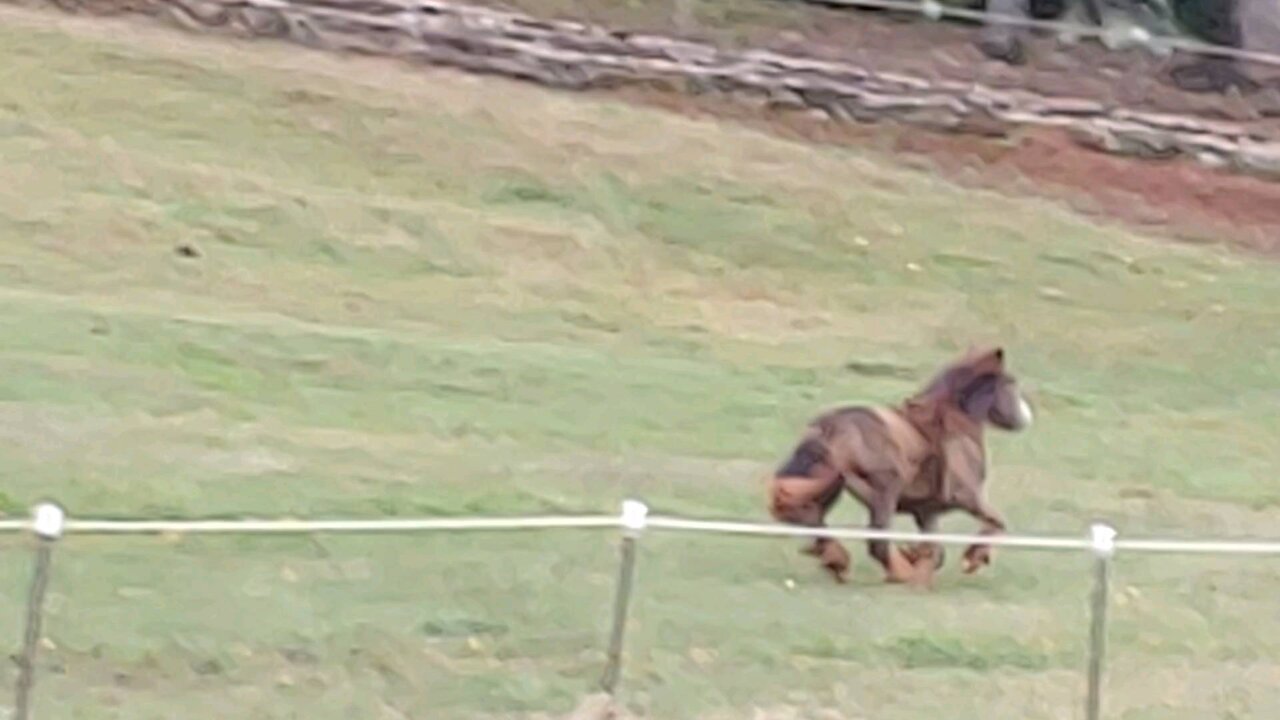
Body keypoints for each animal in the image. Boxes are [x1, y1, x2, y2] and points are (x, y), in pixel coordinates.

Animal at [768, 345, 1029, 586]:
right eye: (1011, 383)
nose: (1024, 419)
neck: (954, 423)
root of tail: (829, 428)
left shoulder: (927, 511)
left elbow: (935, 551)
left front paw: (918, 561)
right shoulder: (967, 497)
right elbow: (997, 524)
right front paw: (972, 559)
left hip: (829, 483)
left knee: (814, 519)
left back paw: (838, 562)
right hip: (885, 489)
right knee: (877, 540)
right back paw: (897, 574)